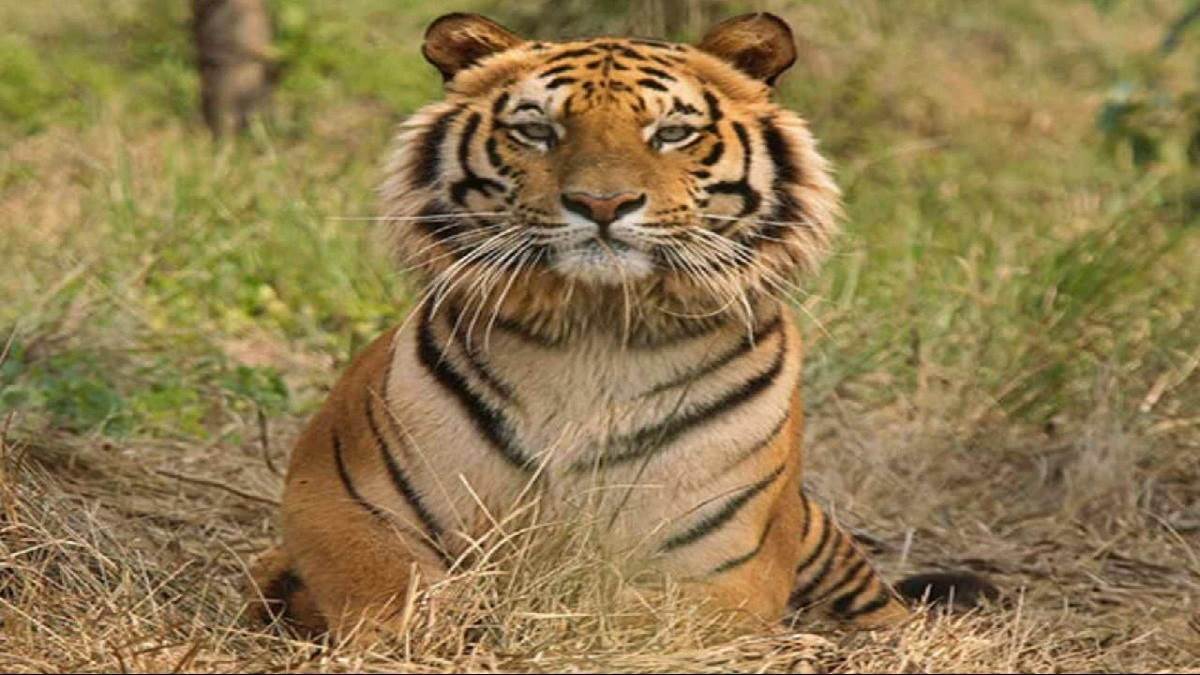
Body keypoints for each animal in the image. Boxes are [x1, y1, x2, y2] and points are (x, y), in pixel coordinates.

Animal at [248, 12, 995, 639]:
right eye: (536, 130)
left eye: (671, 132)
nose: (601, 203)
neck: (594, 331)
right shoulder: (332, 498)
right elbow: (390, 590)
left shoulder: (722, 564)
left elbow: (622, 618)